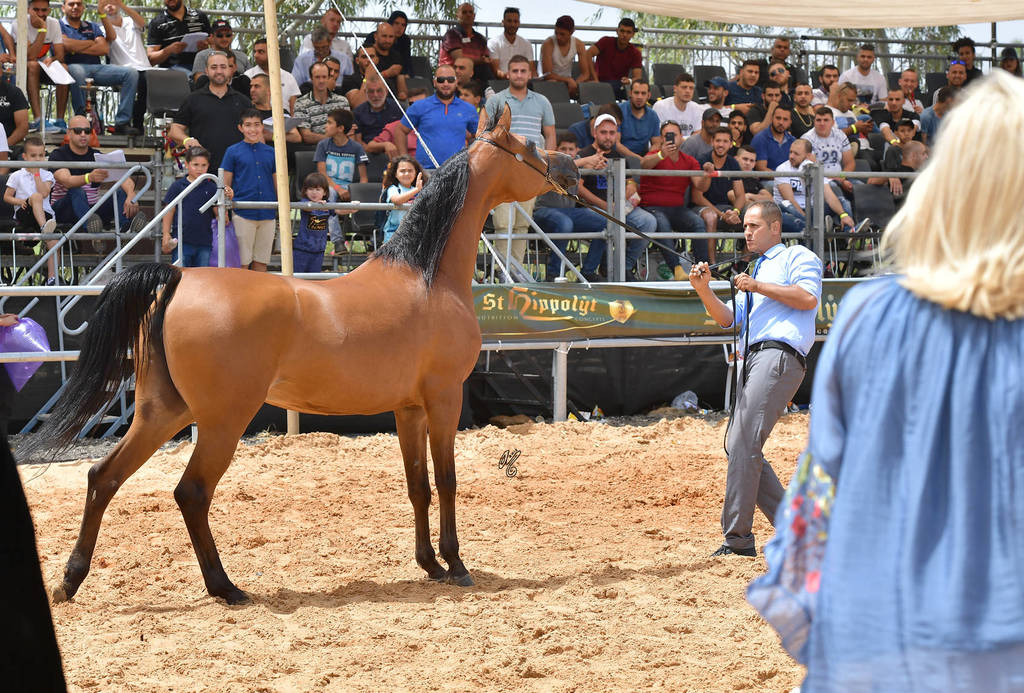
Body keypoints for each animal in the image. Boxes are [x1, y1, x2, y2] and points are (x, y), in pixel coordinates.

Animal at [28, 105, 578, 605]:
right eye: (529, 148)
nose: (570, 169)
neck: (426, 277)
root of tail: (180, 278)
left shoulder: (409, 408)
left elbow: (417, 485)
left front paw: (429, 565)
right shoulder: (444, 399)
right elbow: (447, 481)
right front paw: (457, 565)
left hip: (162, 411)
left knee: (104, 477)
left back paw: (70, 581)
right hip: (223, 420)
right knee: (191, 492)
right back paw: (225, 587)